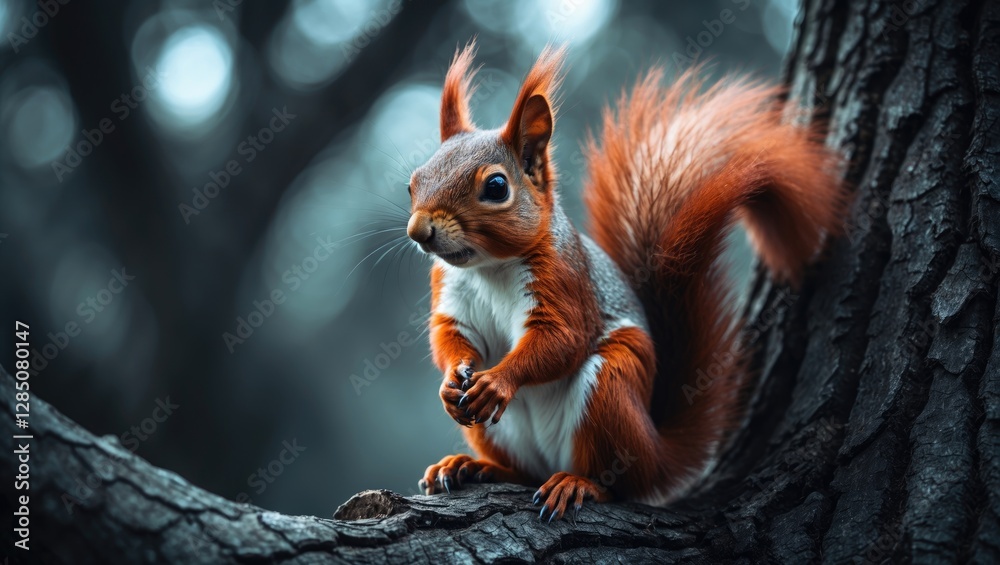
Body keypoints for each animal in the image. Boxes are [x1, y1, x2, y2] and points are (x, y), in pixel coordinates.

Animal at [405, 42, 845, 522]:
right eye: (413, 182)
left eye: (497, 187)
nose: (419, 231)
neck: (488, 268)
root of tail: (657, 451)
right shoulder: (450, 293)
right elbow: (449, 337)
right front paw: (452, 380)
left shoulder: (565, 281)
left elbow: (562, 339)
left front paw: (497, 381)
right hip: (502, 434)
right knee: (523, 473)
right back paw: (472, 466)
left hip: (612, 385)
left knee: (621, 483)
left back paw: (579, 484)